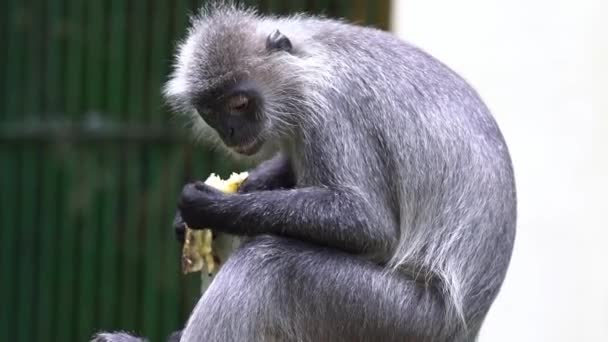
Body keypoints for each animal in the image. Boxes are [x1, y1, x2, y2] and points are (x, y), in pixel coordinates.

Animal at [92, 2, 516, 342]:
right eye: (211, 112)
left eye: (239, 104)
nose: (231, 133)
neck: (310, 60)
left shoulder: (329, 107)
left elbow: (367, 223)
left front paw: (208, 207)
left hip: (394, 317)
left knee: (267, 266)